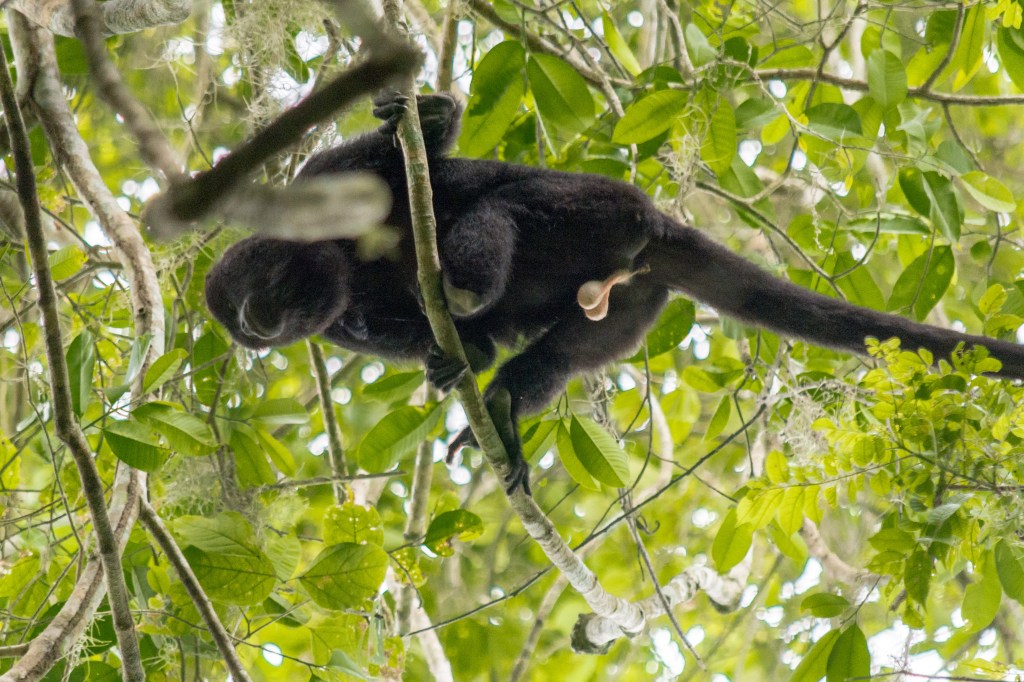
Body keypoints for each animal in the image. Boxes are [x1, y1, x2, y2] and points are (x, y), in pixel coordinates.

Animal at [205, 92, 1024, 495]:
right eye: (249, 330)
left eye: (250, 297)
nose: (257, 323)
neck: (336, 262)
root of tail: (653, 226)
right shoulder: (336, 322)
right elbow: (428, 339)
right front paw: (455, 360)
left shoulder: (323, 175)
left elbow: (404, 155)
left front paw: (428, 116)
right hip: (630, 304)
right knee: (557, 359)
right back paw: (501, 405)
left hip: (597, 209)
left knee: (502, 209)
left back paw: (464, 287)